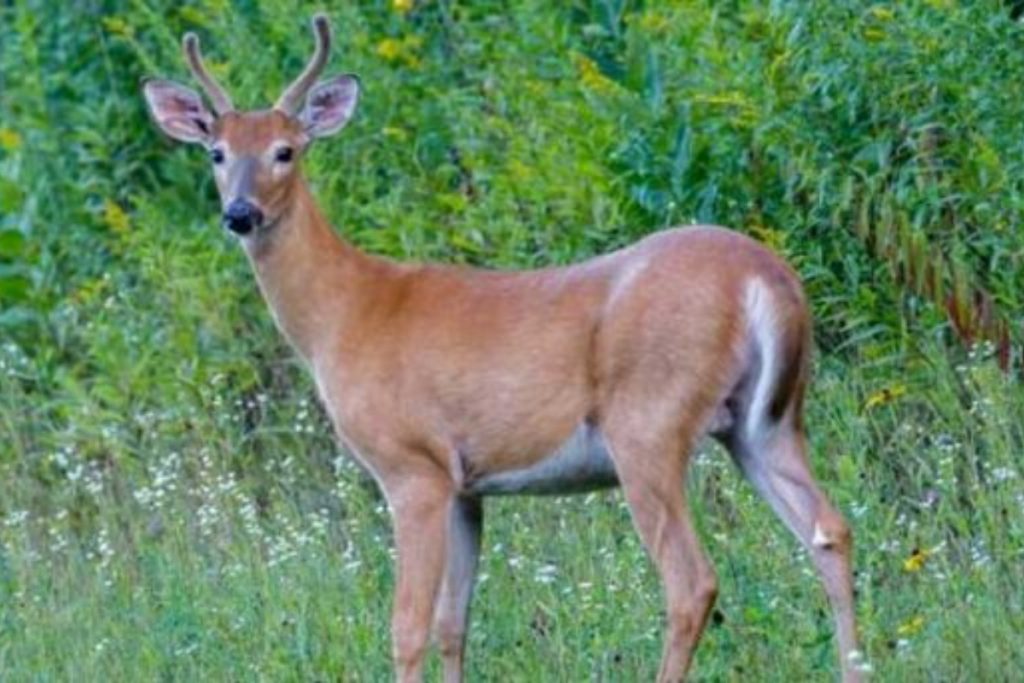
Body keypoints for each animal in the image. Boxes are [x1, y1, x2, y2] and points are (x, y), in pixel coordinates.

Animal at [142, 14, 864, 683]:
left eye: (286, 150)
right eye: (216, 151)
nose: (240, 214)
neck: (343, 315)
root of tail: (766, 278)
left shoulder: (414, 466)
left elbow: (407, 626)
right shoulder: (467, 484)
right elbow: (452, 624)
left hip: (649, 420)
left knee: (692, 581)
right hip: (764, 422)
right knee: (829, 529)